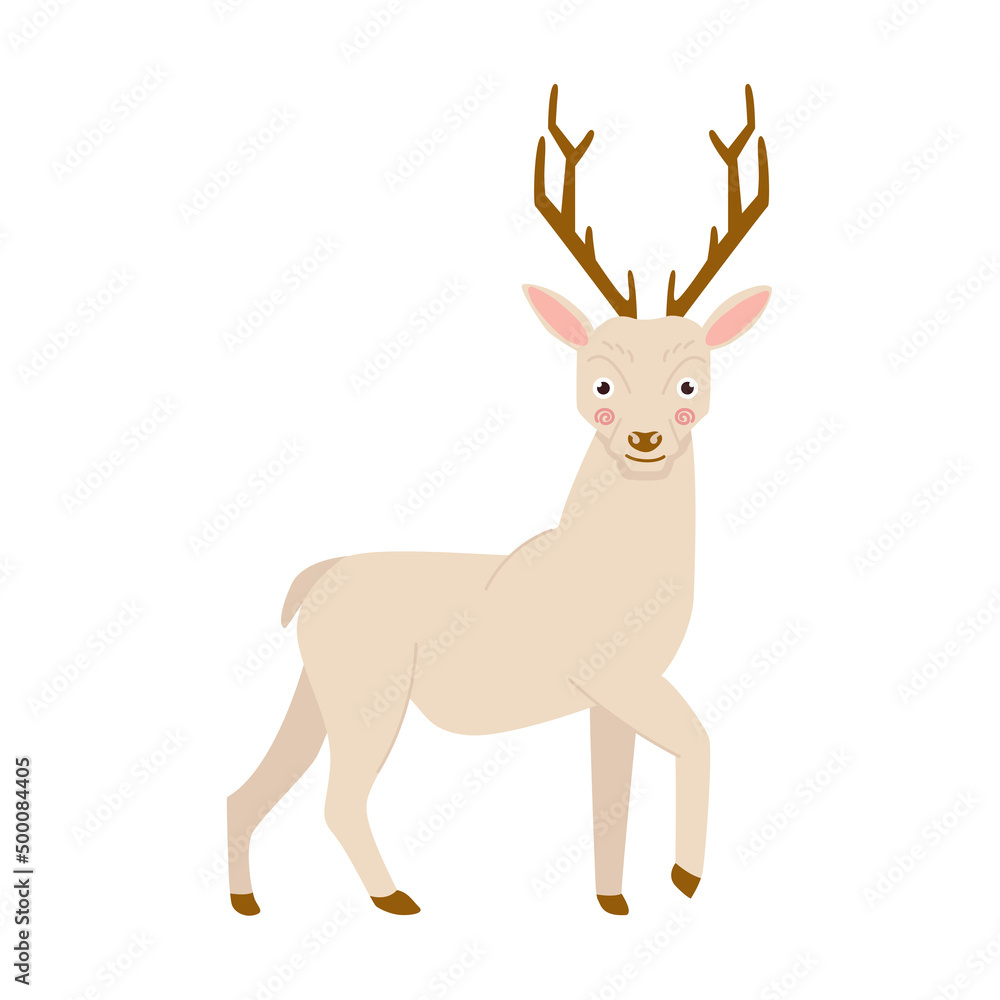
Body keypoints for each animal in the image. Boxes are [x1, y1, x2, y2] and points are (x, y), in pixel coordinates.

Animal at [228, 83, 771, 918]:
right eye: (600, 383)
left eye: (690, 382)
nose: (645, 438)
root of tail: (310, 582)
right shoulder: (620, 679)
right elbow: (699, 740)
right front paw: (685, 880)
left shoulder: (609, 699)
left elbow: (610, 796)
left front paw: (614, 902)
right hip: (368, 698)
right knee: (338, 800)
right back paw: (397, 898)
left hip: (317, 694)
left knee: (251, 790)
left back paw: (248, 902)